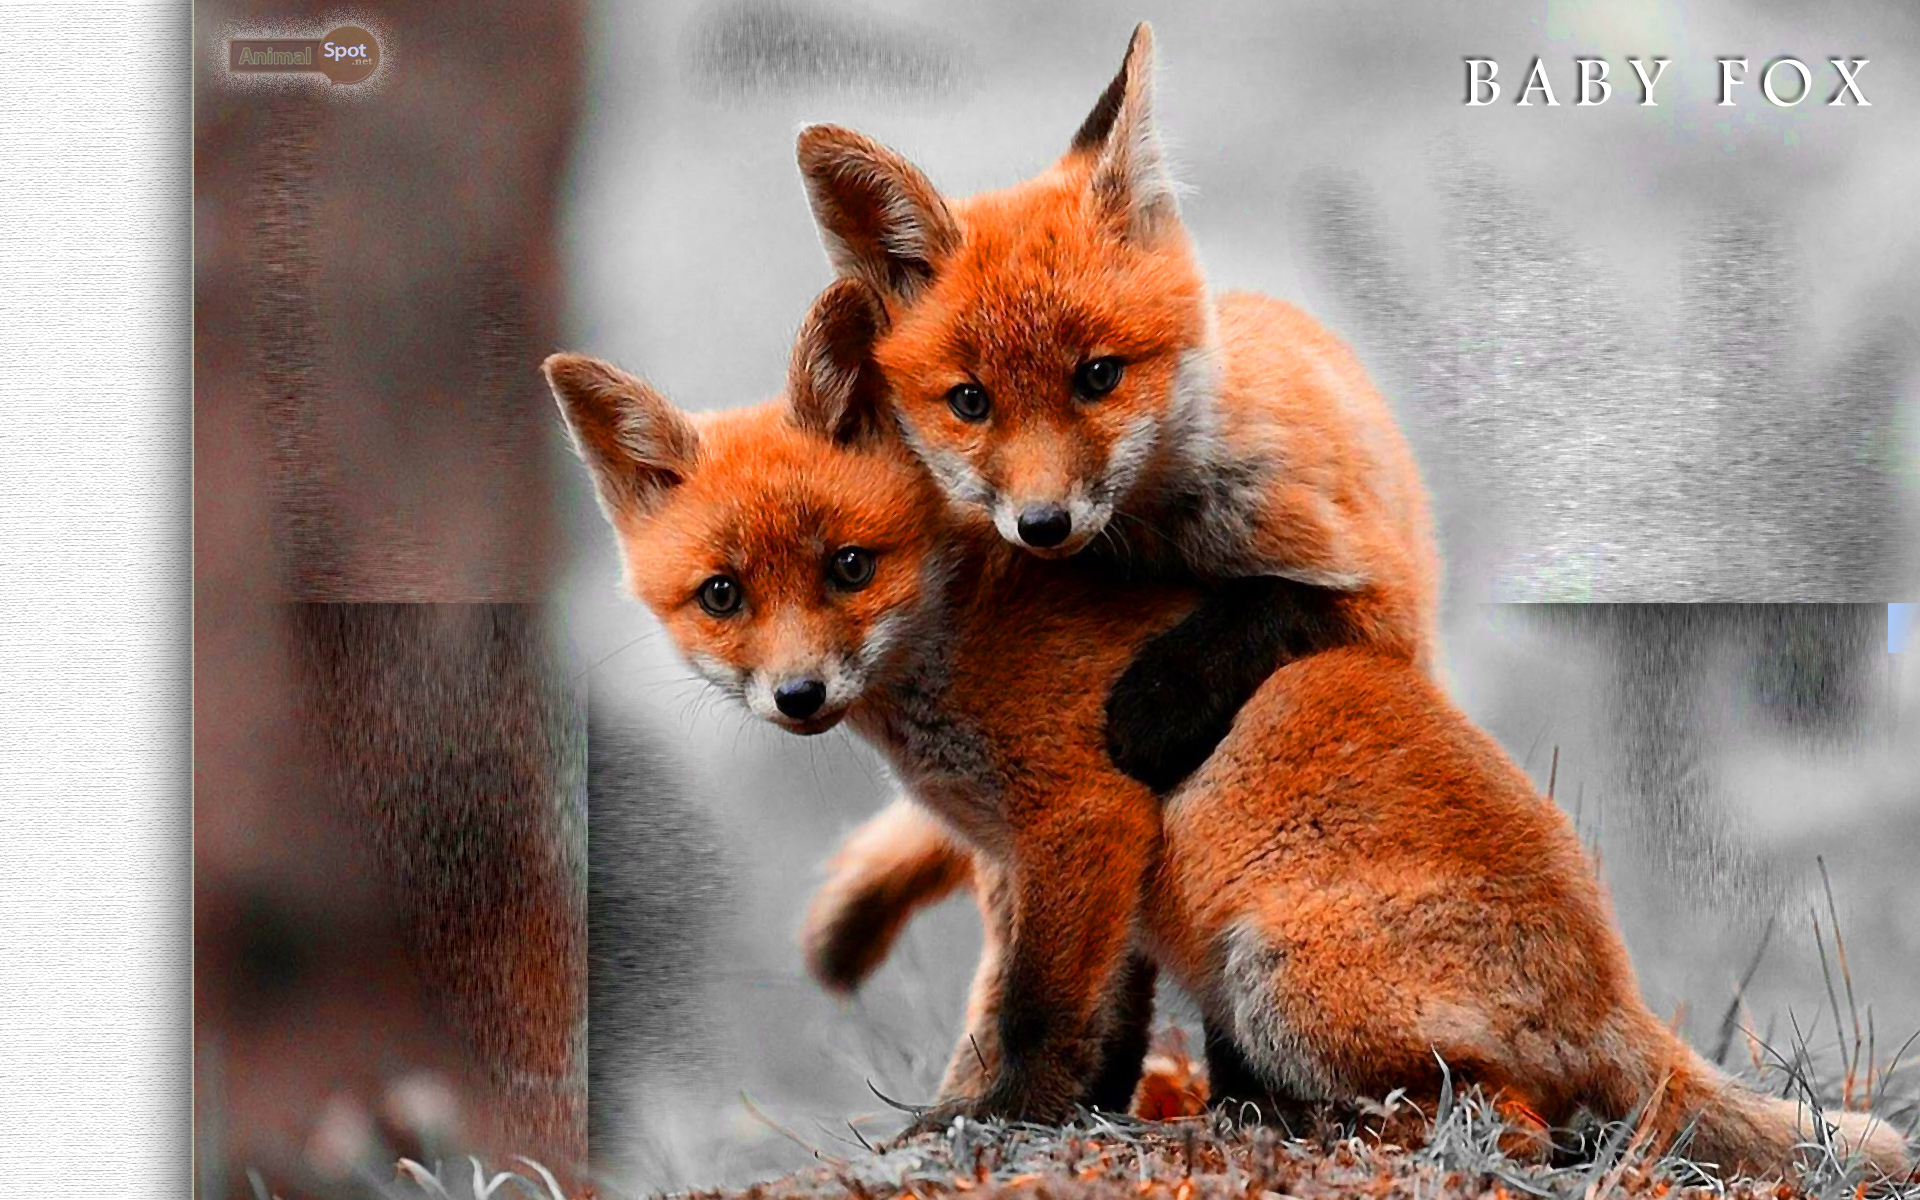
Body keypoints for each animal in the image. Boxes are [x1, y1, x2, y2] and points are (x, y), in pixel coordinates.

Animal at [544, 280, 1911, 1181]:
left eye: (847, 567)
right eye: (724, 595)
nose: (798, 698)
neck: (959, 635)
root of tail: (1613, 985)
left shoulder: (1085, 819)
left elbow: (1034, 1018)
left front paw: (988, 1128)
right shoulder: (1025, 864)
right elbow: (1066, 1022)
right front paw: (1022, 1118)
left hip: (1278, 981)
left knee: (1522, 1126)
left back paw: (1315, 1130)